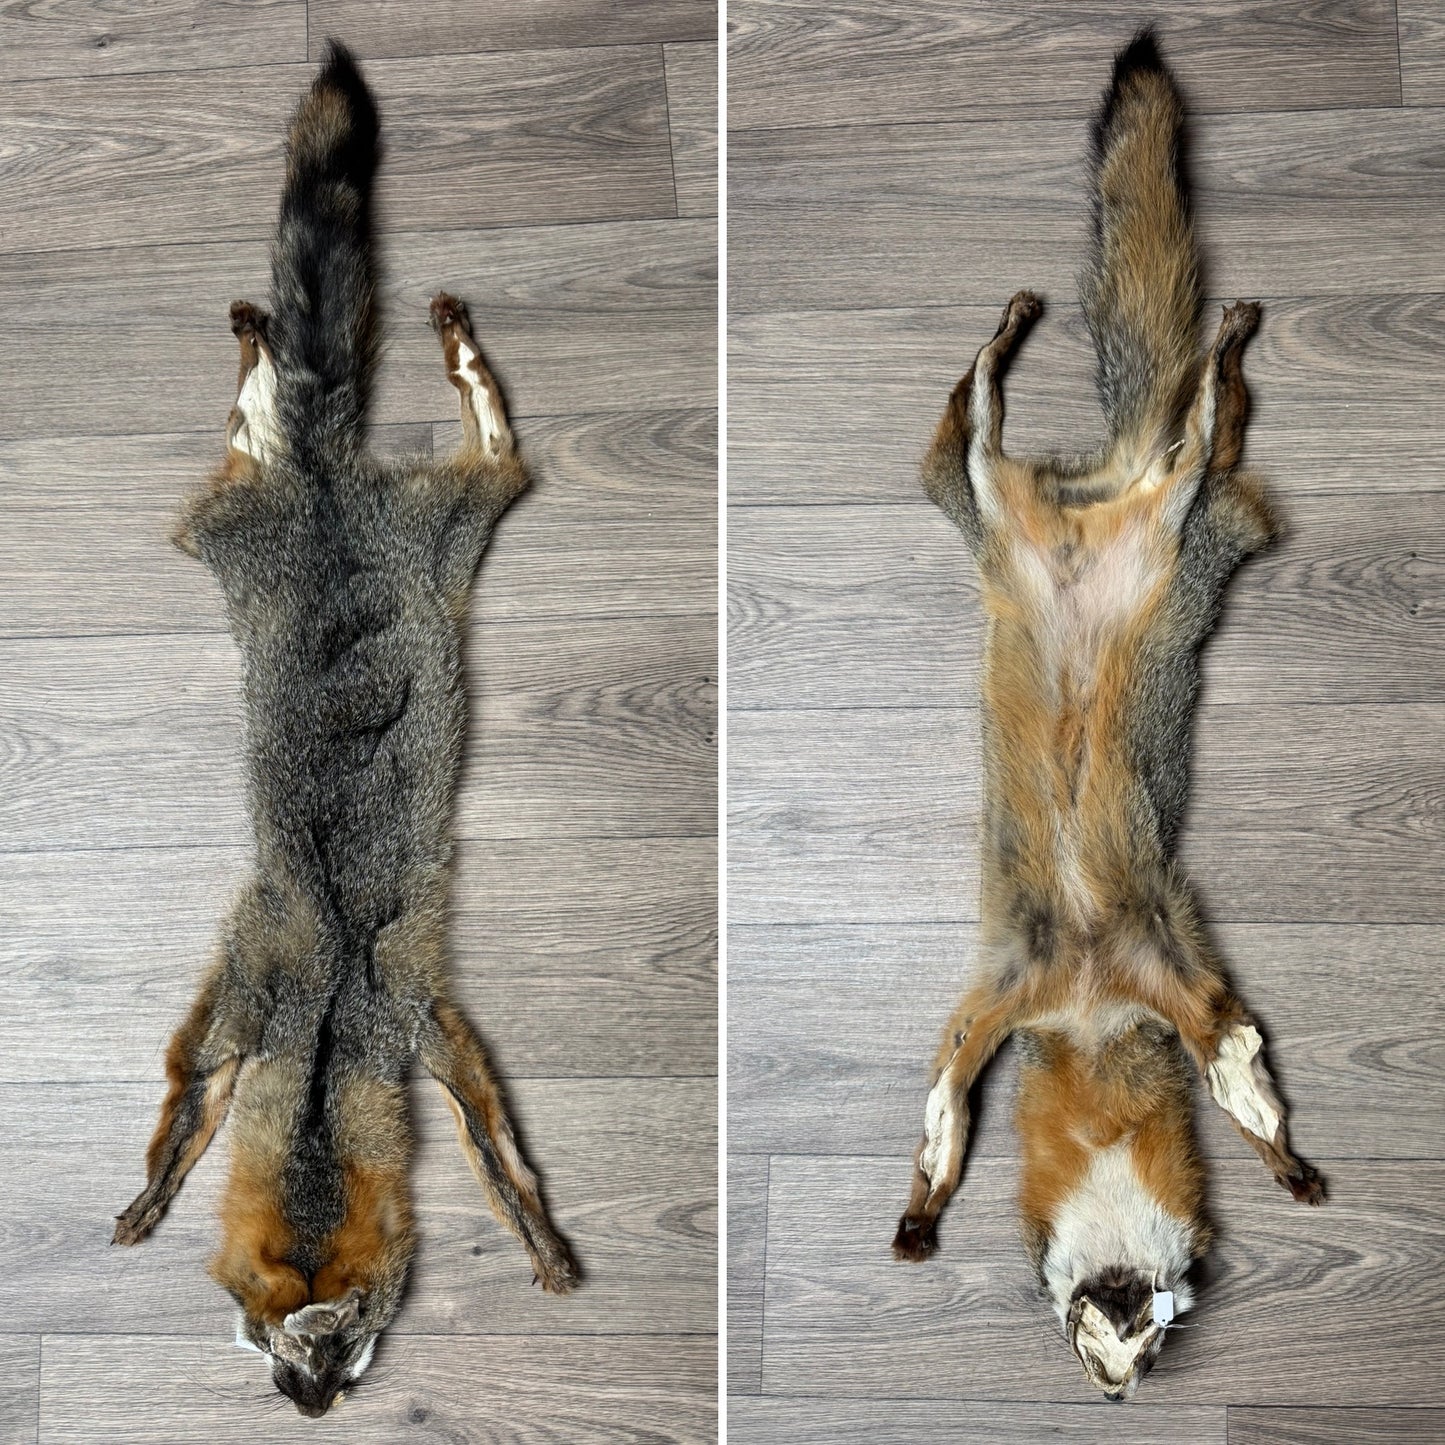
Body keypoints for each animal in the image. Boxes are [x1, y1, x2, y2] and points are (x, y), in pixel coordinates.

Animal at [112, 43, 576, 1417]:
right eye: (280, 1348)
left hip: (437, 526)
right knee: (263, 427)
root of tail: (327, 493)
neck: (322, 1060)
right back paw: (266, 346)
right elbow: (188, 1101)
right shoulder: (259, 983)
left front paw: (536, 1230)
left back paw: (412, 356)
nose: (309, 1412)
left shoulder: (407, 1008)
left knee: (478, 445)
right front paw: (154, 1187)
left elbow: (496, 1150)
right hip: (250, 533)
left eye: (346, 1350)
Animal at [892, 31, 1323, 1401]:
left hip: (1176, 515)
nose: (1116, 1387)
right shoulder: (1011, 992)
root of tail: (1102, 488)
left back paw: (1211, 351)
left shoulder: (1165, 975)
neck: (1086, 1018)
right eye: (1094, 1330)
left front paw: (1284, 1160)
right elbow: (944, 1103)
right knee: (976, 425)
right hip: (993, 503)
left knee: (1188, 432)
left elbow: (1236, 1068)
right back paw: (1025, 332)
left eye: (1147, 1330)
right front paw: (919, 1212)